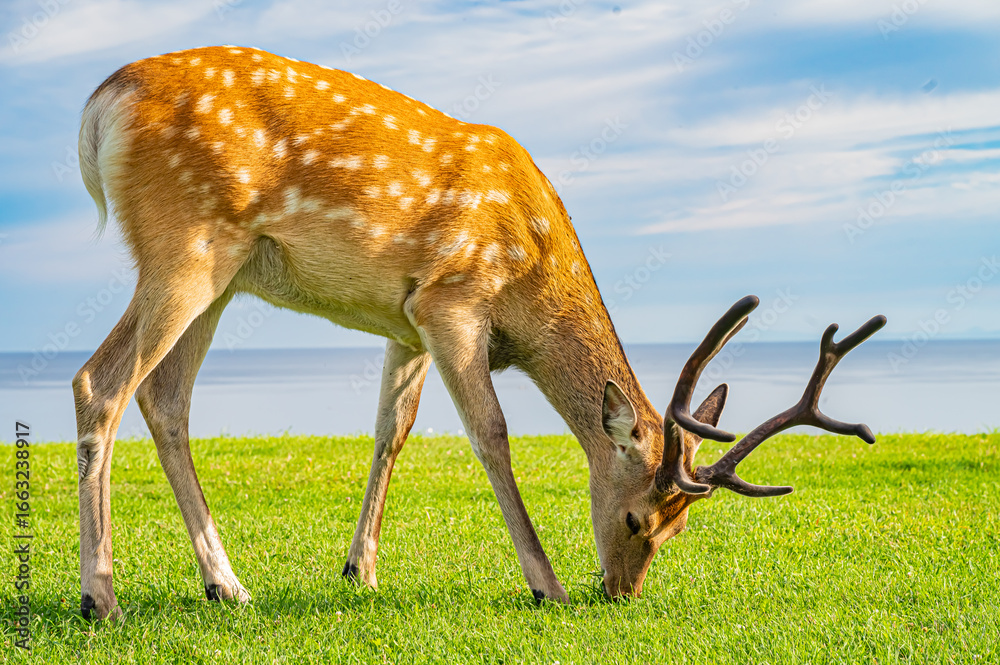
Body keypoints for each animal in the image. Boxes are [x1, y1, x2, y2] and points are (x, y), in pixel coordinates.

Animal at [73, 45, 886, 621]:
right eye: (635, 517)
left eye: (679, 530)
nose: (620, 593)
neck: (531, 283)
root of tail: (100, 104)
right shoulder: (453, 300)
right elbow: (490, 432)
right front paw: (546, 583)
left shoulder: (405, 319)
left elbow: (391, 431)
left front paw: (361, 570)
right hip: (185, 241)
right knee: (100, 382)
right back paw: (100, 595)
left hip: (222, 272)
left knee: (165, 399)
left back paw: (227, 585)